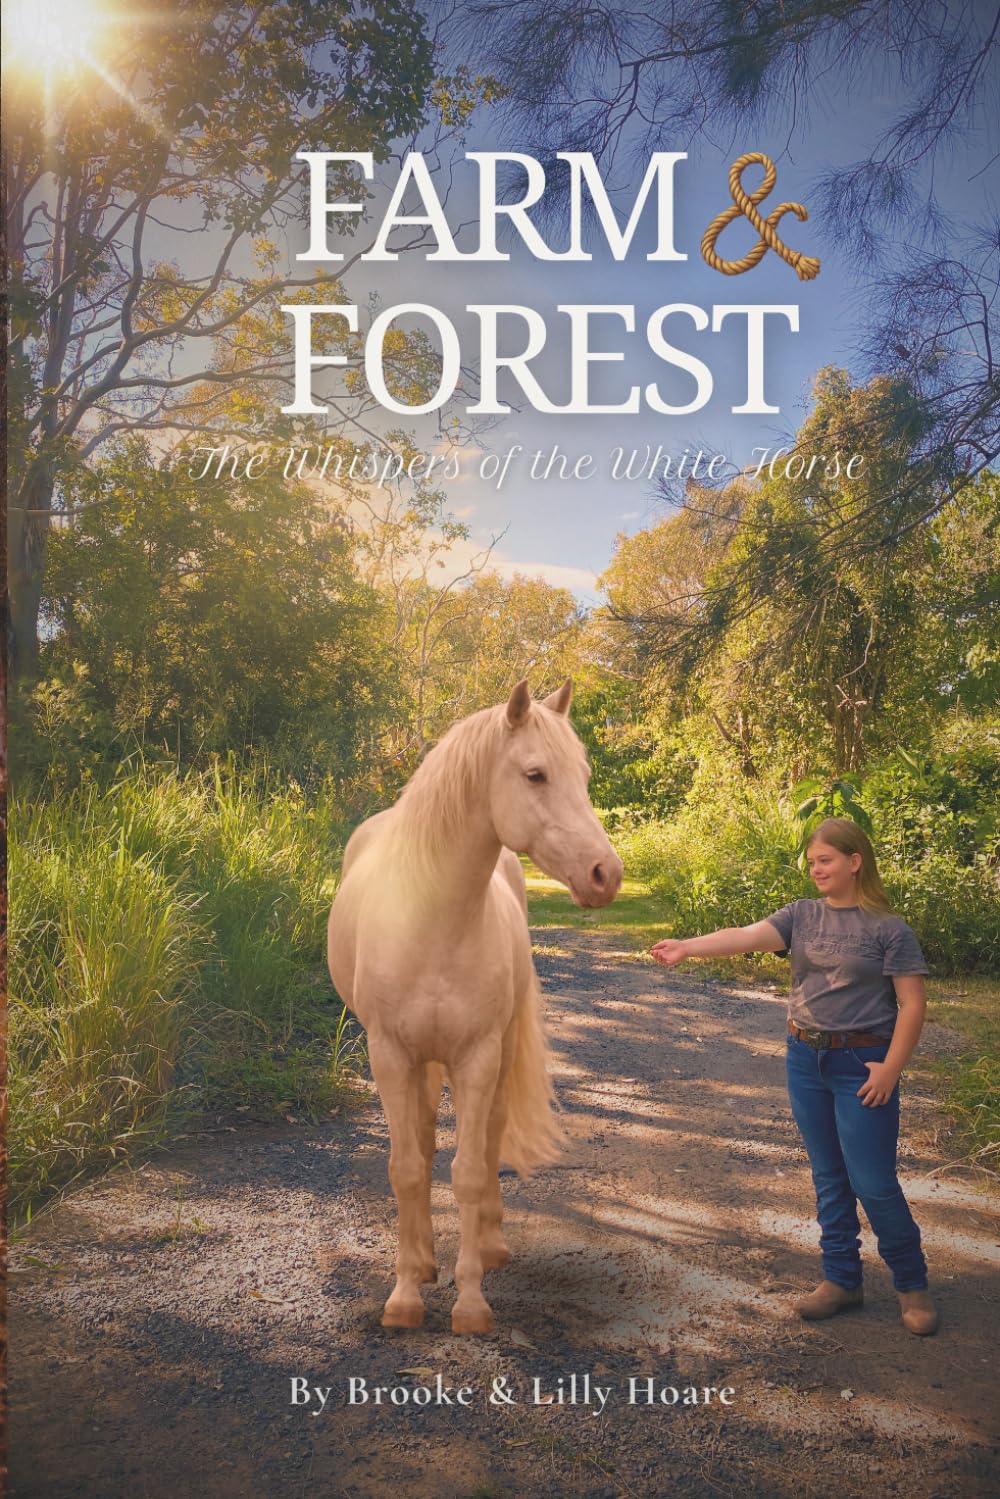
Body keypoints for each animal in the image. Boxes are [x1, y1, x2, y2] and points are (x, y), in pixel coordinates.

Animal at [326, 678, 623, 1334]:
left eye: (585, 774)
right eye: (535, 774)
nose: (606, 874)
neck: (435, 922)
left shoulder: (478, 1056)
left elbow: (467, 1170)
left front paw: (469, 1301)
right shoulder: (389, 1055)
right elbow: (408, 1167)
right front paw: (406, 1294)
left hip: (494, 1051)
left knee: (487, 1141)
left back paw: (487, 1246)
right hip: (420, 1063)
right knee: (425, 1141)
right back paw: (424, 1259)